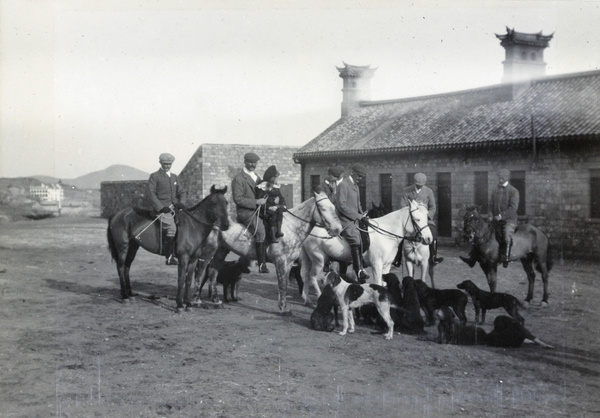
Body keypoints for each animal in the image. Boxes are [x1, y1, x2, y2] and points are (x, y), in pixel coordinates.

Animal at [302, 199, 434, 304]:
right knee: (312, 277)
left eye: (427, 217)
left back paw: (307, 299)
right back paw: (318, 297)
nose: (429, 239)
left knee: (306, 276)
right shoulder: (376, 265)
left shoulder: (386, 266)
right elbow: (378, 284)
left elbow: (384, 284)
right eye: (417, 219)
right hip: (318, 260)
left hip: (312, 260)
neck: (385, 235)